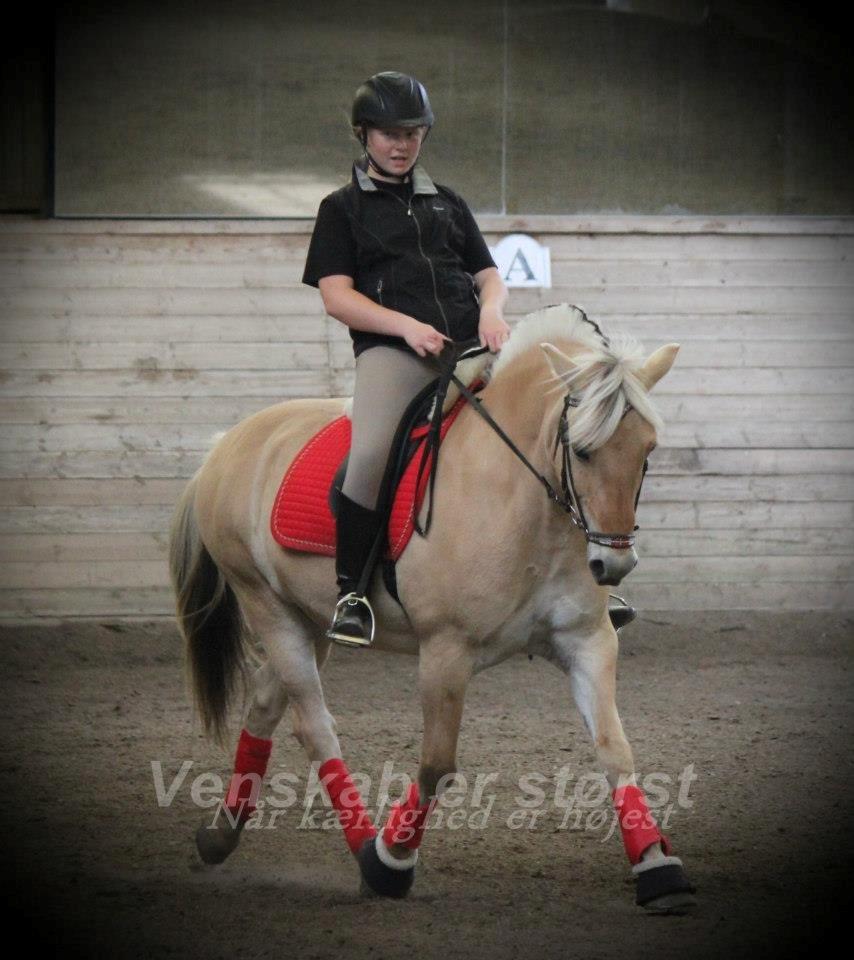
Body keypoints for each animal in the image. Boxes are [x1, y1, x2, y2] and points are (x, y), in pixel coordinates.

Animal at [171, 304, 700, 912]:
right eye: (583, 450)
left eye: (647, 451)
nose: (613, 566)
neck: (525, 503)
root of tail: (227, 444)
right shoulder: (446, 650)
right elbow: (437, 765)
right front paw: (390, 862)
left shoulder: (588, 639)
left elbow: (615, 750)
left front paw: (658, 867)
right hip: (266, 605)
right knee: (316, 728)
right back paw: (364, 853)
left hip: (309, 619)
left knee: (264, 706)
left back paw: (219, 836)